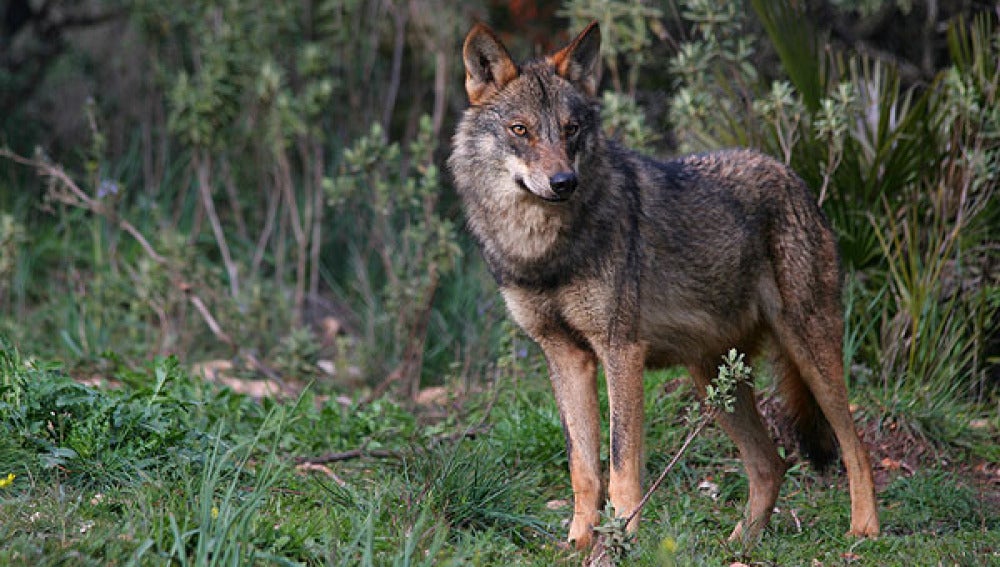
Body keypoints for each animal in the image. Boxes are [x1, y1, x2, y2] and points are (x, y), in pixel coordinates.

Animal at [448, 21, 880, 549]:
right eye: (520, 130)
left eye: (571, 129)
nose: (564, 181)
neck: (542, 251)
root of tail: (795, 179)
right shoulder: (566, 356)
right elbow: (583, 468)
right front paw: (578, 545)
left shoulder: (621, 350)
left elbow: (621, 465)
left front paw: (621, 542)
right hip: (714, 379)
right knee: (770, 465)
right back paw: (738, 544)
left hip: (807, 351)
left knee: (854, 447)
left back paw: (864, 532)